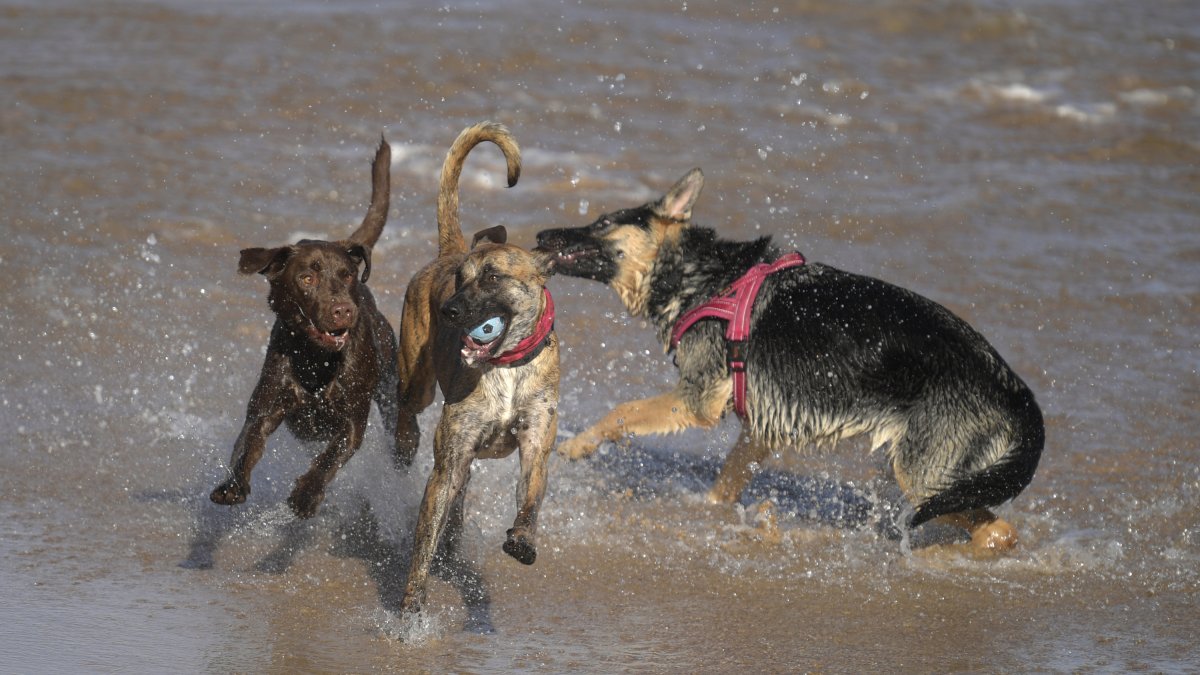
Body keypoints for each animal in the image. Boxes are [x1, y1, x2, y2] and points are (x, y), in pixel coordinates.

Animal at [211, 135, 398, 514]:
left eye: (346, 275)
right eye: (307, 278)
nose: (343, 310)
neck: (316, 360)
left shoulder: (353, 421)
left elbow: (330, 457)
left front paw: (307, 494)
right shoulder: (264, 409)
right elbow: (246, 447)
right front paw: (232, 485)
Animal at [396, 121, 559, 614]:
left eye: (492, 277)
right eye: (460, 280)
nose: (448, 311)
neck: (504, 367)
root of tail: (447, 250)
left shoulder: (536, 441)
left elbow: (530, 496)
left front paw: (523, 539)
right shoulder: (447, 463)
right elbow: (423, 543)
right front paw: (410, 611)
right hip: (418, 379)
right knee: (406, 406)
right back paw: (404, 441)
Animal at [540, 166, 1046, 547]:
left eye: (603, 223)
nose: (542, 233)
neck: (704, 276)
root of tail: (1019, 395)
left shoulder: (696, 400)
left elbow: (621, 411)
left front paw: (576, 445)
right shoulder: (757, 427)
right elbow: (725, 485)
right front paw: (707, 515)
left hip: (923, 478)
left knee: (998, 532)